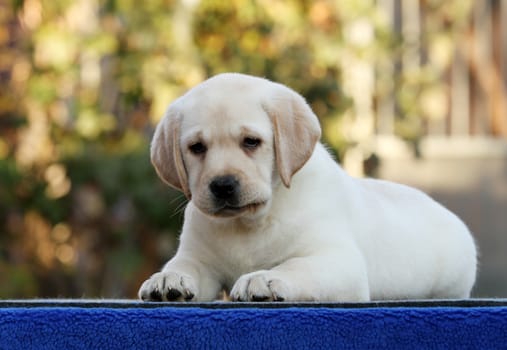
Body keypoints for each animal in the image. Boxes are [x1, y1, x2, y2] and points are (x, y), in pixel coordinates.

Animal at [138, 72, 476, 302]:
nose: (222, 185)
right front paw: (167, 278)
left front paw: (263, 278)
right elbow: (185, 264)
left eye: (251, 142)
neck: (248, 224)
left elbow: (294, 267)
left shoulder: (338, 262)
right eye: (196, 147)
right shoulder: (200, 259)